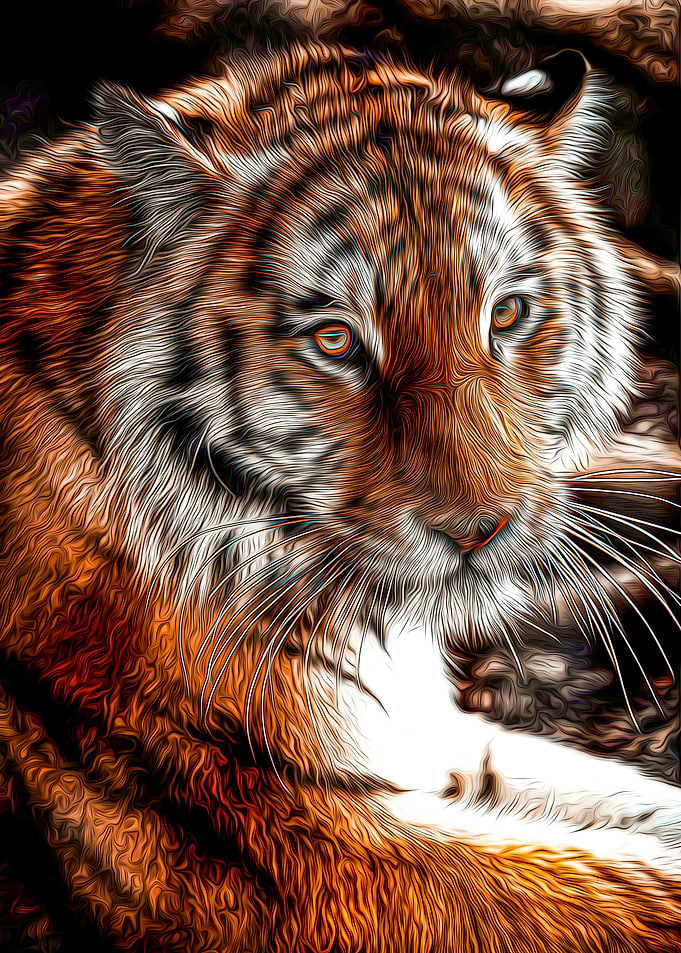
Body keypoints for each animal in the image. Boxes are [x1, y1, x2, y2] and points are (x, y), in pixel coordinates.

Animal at [1, 38, 681, 952]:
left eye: (506, 314)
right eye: (334, 340)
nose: (481, 530)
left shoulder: (425, 740)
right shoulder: (298, 846)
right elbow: (621, 891)